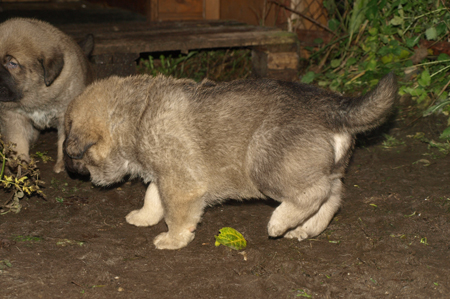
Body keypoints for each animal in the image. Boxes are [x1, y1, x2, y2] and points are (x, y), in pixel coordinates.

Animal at [0, 18, 94, 173]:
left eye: (12, 63)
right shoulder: (14, 116)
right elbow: (18, 141)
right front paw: (19, 165)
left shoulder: (65, 115)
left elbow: (64, 142)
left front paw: (62, 164)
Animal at [62, 73, 398, 251]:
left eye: (74, 153)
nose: (71, 171)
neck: (136, 116)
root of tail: (334, 109)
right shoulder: (166, 174)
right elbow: (152, 197)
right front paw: (144, 217)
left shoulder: (180, 183)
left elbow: (175, 214)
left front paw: (173, 239)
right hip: (326, 170)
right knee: (333, 196)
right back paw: (306, 229)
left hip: (265, 163)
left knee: (313, 194)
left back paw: (279, 222)